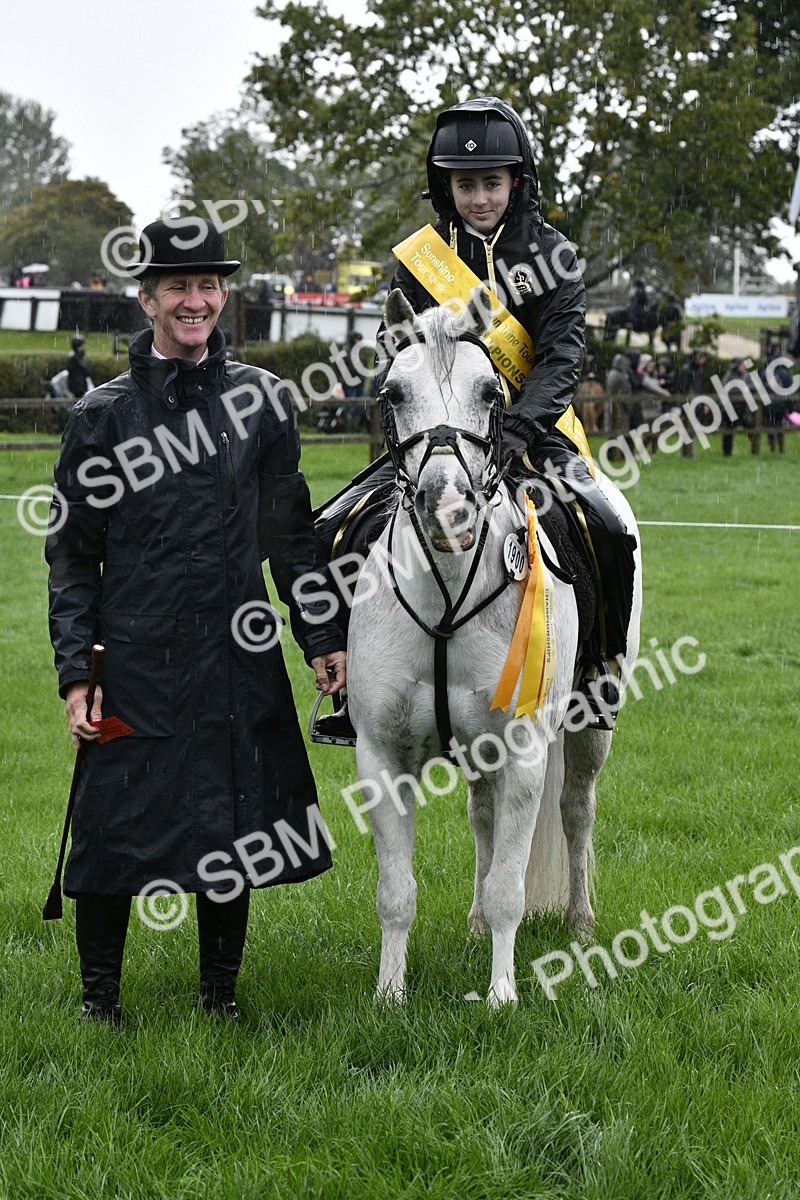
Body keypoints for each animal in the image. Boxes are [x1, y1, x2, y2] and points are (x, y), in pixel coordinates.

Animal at [346, 288, 642, 1007]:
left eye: (490, 392)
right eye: (394, 392)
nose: (447, 507)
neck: (447, 598)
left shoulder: (526, 752)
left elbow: (512, 884)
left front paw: (503, 995)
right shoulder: (381, 756)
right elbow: (395, 892)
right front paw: (389, 996)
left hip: (590, 727)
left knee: (576, 811)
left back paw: (579, 921)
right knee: (482, 818)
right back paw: (477, 922)